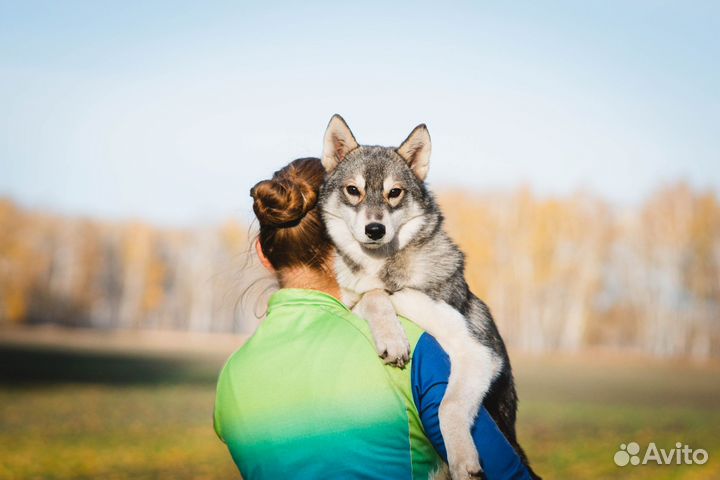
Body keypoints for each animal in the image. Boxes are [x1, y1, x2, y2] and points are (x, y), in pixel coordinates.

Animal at [318, 114, 536, 478]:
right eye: (353, 190)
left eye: (394, 193)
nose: (374, 230)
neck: (385, 267)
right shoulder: (358, 296)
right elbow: (372, 295)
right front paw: (392, 338)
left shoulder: (479, 352)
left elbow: (448, 407)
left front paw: (464, 459)